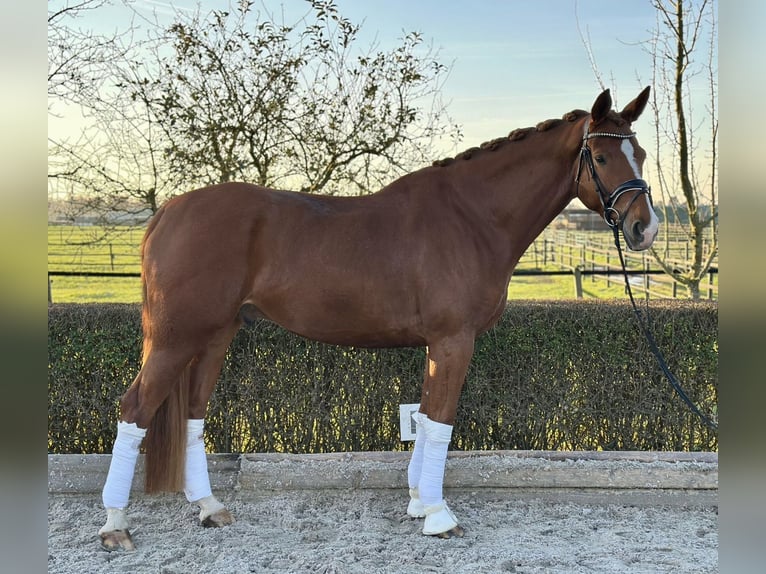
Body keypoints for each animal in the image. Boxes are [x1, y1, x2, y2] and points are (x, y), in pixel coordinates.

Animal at [97, 88, 660, 552]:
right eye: (602, 155)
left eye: (642, 153)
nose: (645, 228)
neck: (471, 218)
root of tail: (167, 211)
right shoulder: (454, 340)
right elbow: (442, 422)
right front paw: (439, 516)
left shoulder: (438, 344)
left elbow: (428, 420)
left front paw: (419, 504)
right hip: (175, 338)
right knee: (135, 409)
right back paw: (115, 526)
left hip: (214, 335)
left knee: (192, 413)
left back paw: (210, 508)